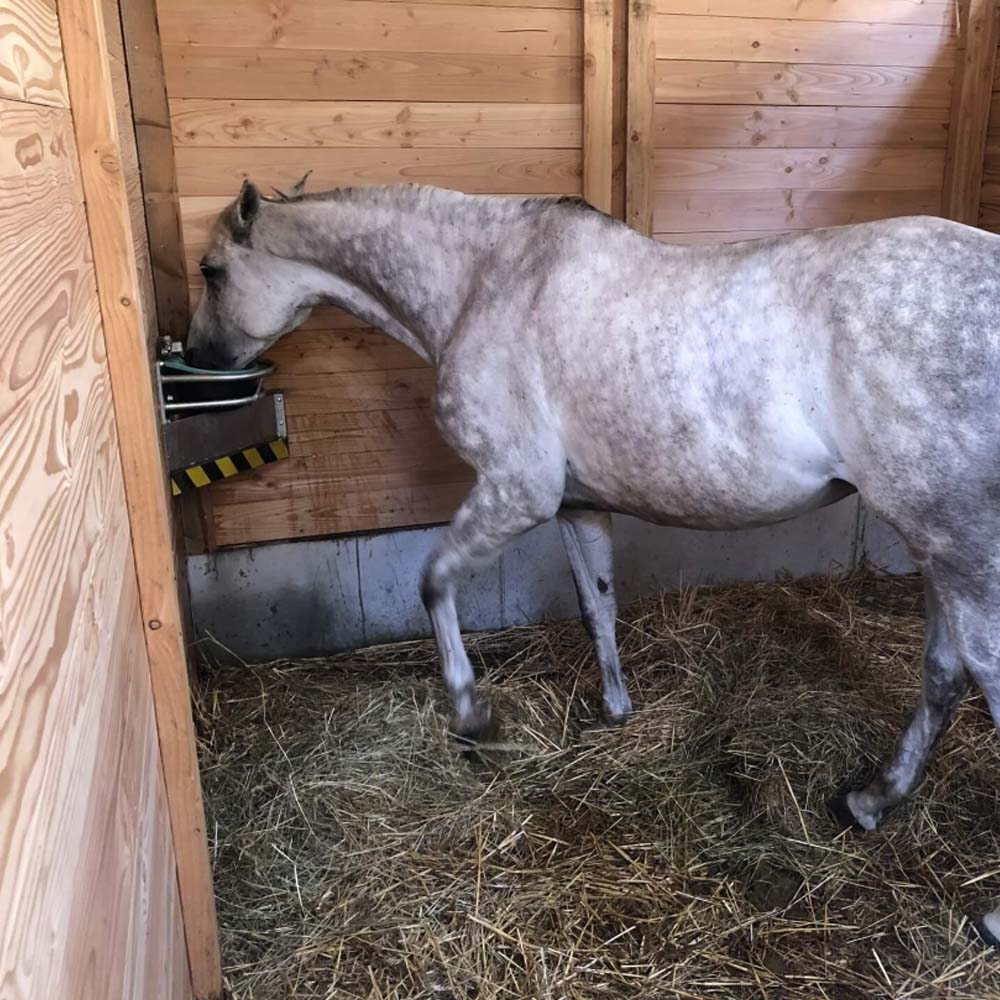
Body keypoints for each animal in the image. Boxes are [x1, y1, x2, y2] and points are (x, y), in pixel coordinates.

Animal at [188, 180, 1000, 944]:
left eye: (212, 270)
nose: (198, 358)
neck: (483, 279)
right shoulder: (576, 507)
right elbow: (596, 606)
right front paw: (613, 710)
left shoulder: (517, 493)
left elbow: (434, 581)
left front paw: (471, 715)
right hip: (937, 548)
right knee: (942, 677)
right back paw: (870, 800)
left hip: (961, 549)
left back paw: (986, 913)